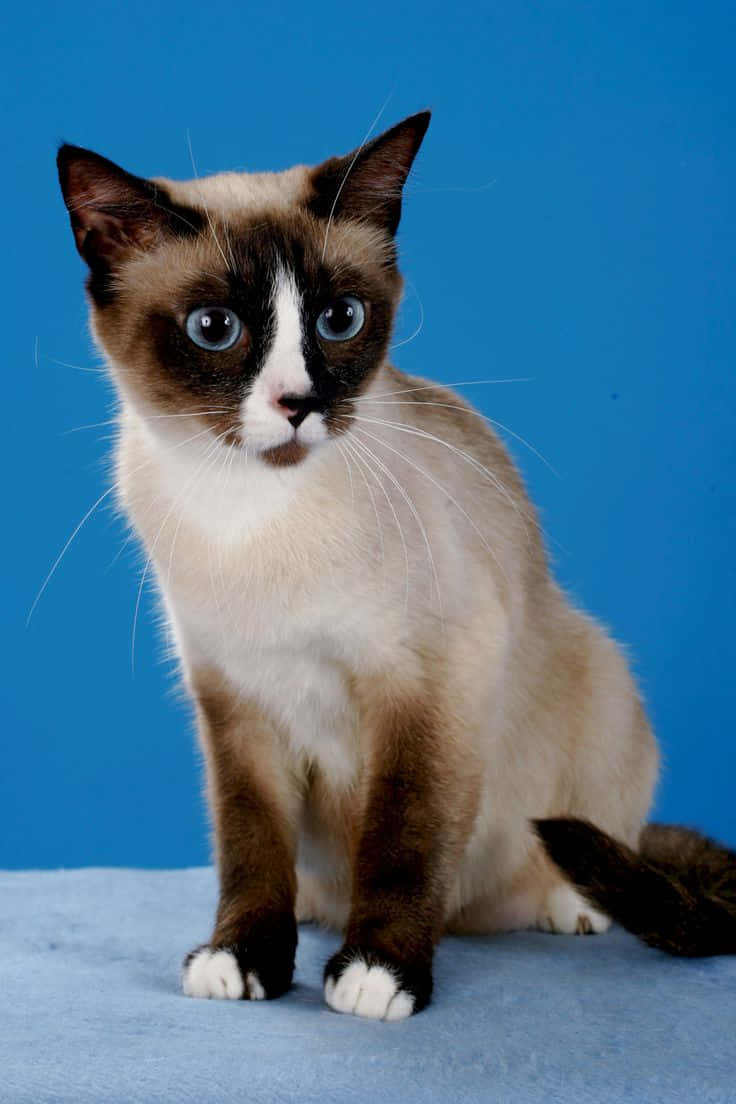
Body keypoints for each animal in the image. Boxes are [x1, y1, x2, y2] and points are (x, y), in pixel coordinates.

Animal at [57, 109, 736, 1015]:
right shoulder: (235, 704)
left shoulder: (430, 686)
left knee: (590, 848)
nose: (298, 404)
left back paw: (567, 907)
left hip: (599, 671)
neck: (250, 517)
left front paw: (378, 975)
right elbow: (250, 847)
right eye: (215, 328)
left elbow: (404, 836)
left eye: (339, 319)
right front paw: (243, 960)